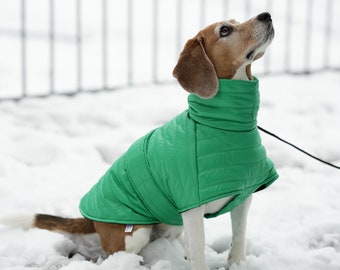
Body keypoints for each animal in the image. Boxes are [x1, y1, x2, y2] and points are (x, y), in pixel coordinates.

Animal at [1, 12, 274, 270]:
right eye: (225, 30)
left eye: (236, 21)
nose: (266, 15)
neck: (223, 125)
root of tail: (92, 220)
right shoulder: (191, 206)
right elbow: (198, 252)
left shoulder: (243, 197)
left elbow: (238, 238)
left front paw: (237, 264)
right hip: (135, 231)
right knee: (119, 253)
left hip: (172, 223)